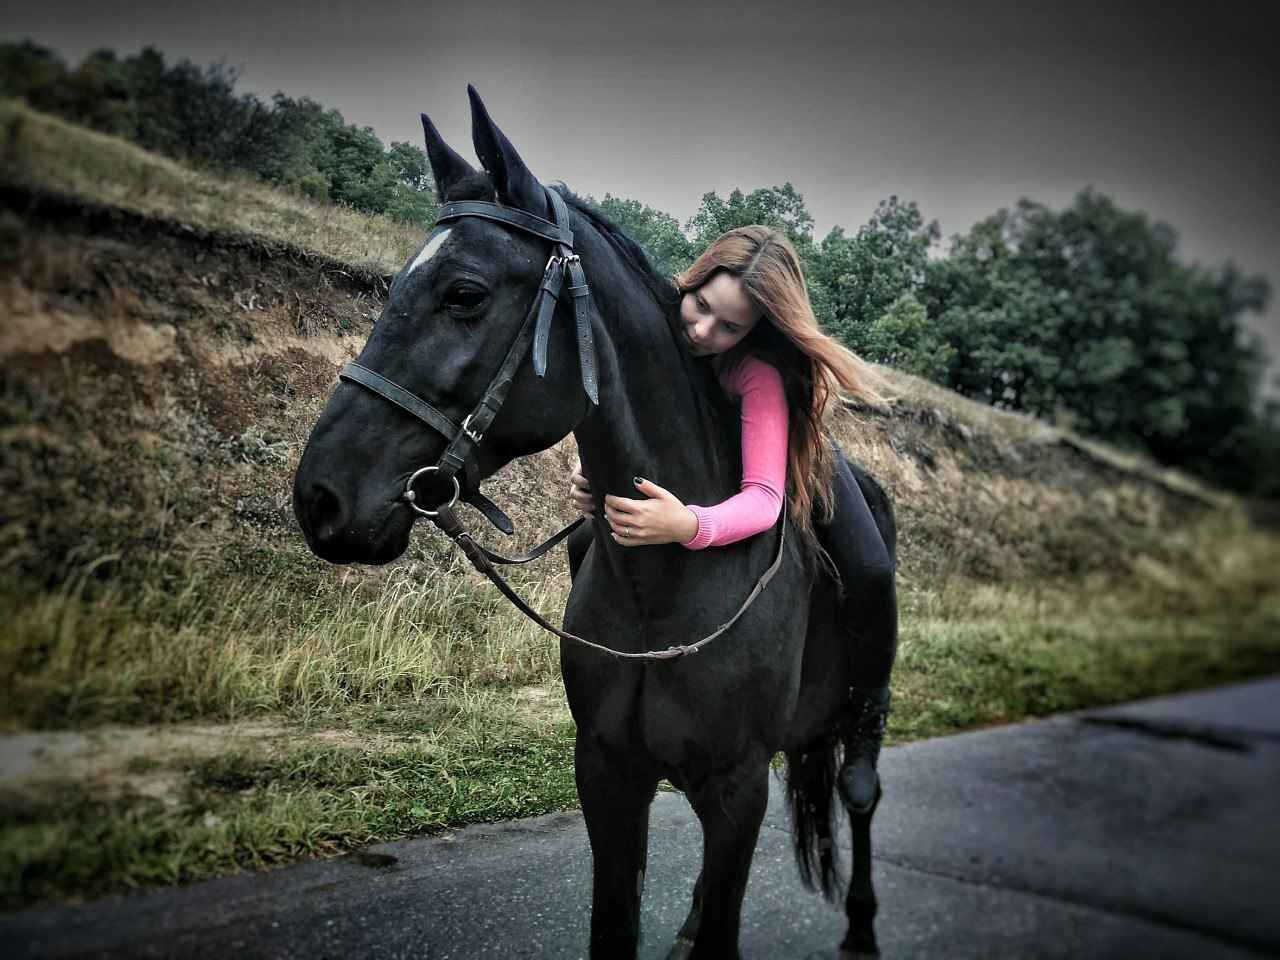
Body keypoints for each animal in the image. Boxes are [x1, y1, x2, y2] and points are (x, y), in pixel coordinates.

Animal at [293, 90, 896, 960]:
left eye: (464, 294)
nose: (320, 497)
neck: (665, 588)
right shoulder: (608, 777)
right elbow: (617, 925)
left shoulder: (736, 786)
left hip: (851, 721)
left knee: (859, 789)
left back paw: (861, 926)